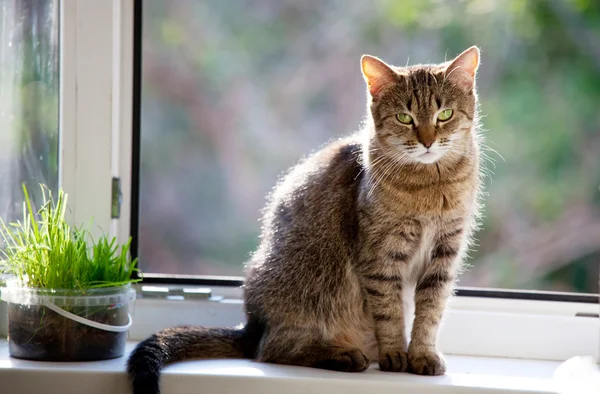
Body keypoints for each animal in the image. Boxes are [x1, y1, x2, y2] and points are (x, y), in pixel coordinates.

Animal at [126, 44, 482, 392]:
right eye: (404, 118)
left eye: (445, 114)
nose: (427, 141)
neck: (430, 186)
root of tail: (253, 326)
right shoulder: (381, 256)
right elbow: (389, 311)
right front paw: (395, 352)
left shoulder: (445, 253)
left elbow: (431, 311)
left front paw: (421, 353)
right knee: (272, 349)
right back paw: (341, 355)